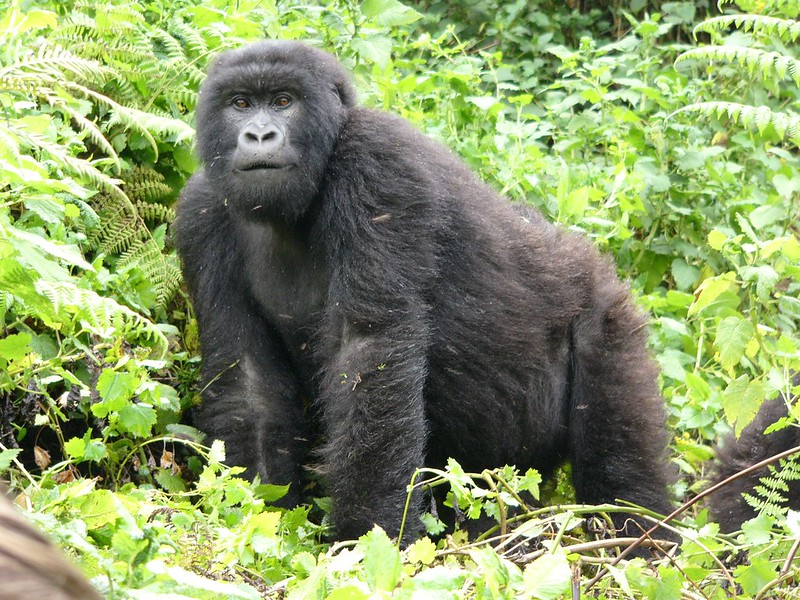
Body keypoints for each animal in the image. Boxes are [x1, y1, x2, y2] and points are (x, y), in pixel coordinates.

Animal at [175, 39, 676, 540]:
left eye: (284, 101)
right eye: (240, 104)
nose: (259, 136)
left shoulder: (377, 163)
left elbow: (370, 354)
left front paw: (363, 537)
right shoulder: (201, 213)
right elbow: (247, 382)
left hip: (608, 318)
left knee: (621, 467)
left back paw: (643, 540)